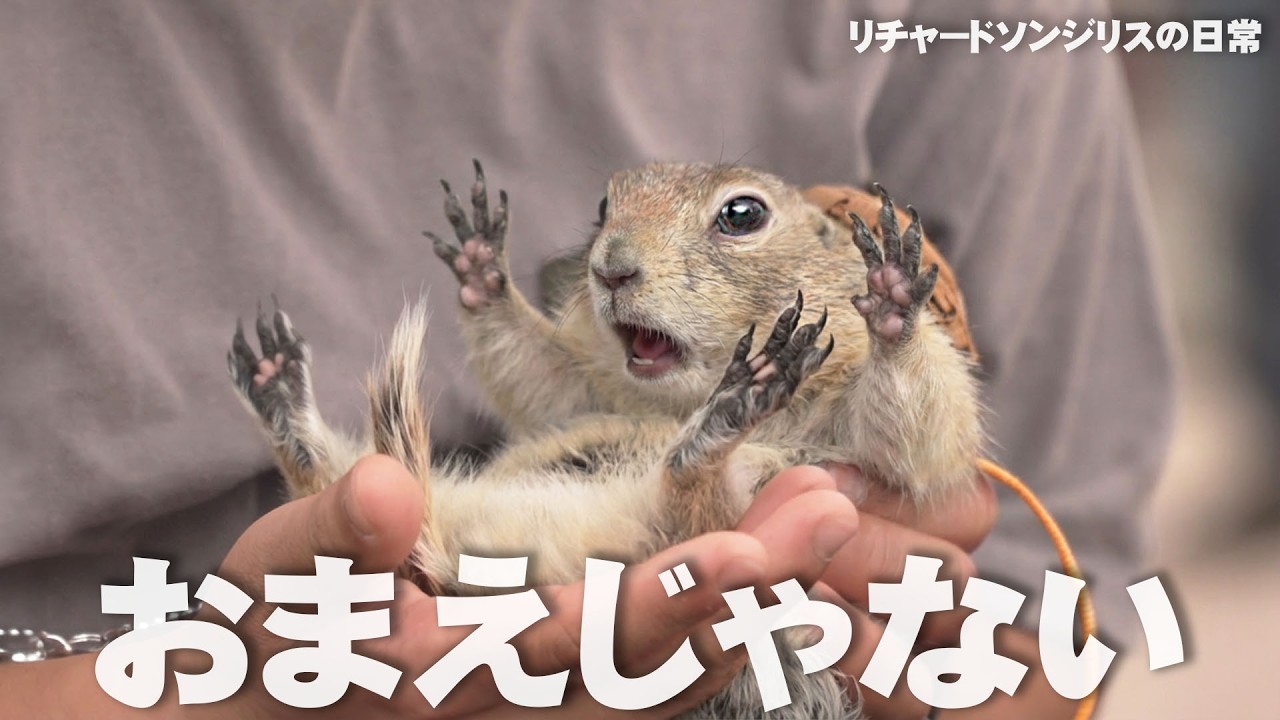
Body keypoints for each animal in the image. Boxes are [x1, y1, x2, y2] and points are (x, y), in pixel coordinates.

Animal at [227, 160, 986, 719]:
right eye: (602, 206)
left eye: (742, 215)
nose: (610, 268)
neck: (673, 399)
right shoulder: (585, 393)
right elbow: (542, 379)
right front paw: (482, 268)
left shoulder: (849, 428)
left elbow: (914, 428)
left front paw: (894, 298)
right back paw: (280, 395)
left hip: (703, 524)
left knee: (690, 502)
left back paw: (732, 410)